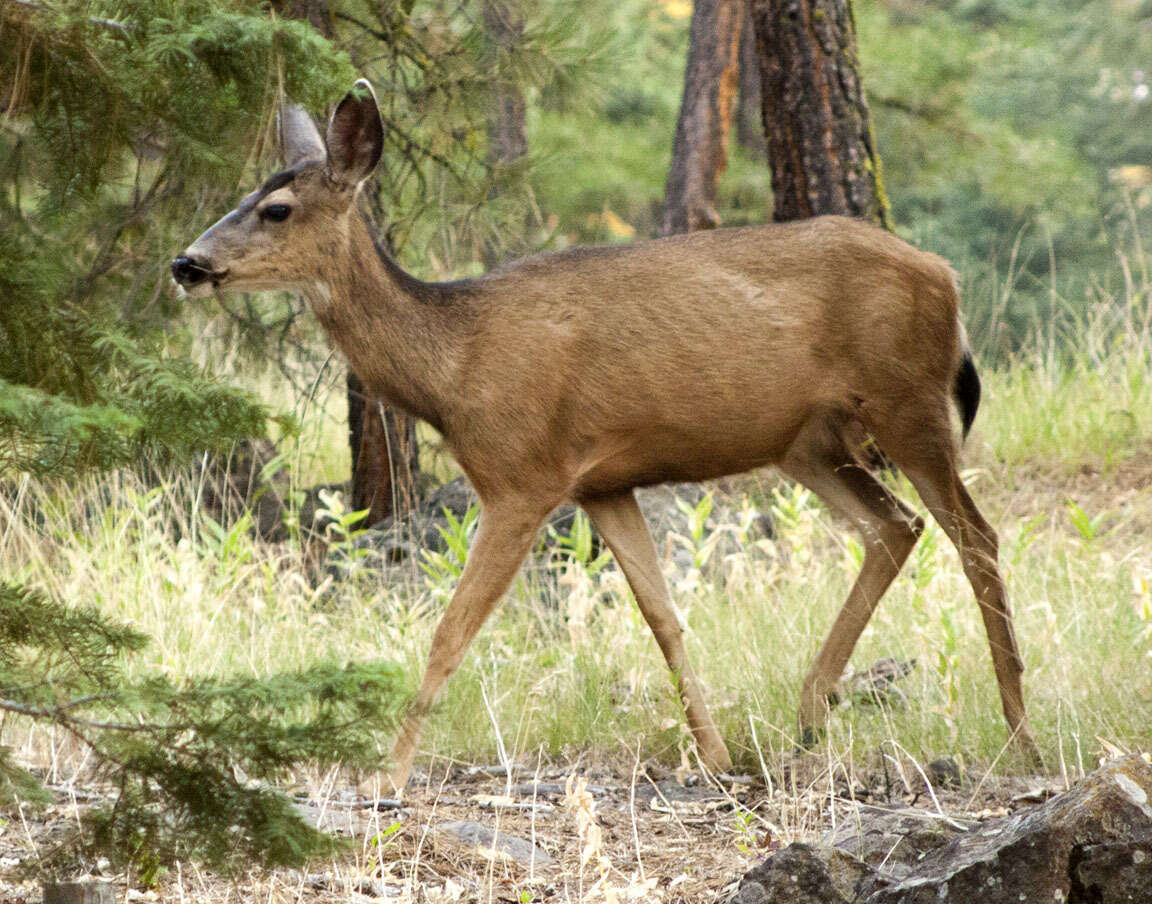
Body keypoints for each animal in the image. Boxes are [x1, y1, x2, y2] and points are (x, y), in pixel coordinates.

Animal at [172, 82, 1046, 792]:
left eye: (277, 209)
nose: (187, 262)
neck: (454, 366)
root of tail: (946, 277)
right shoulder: (603, 482)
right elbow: (663, 618)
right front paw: (717, 756)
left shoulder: (523, 476)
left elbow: (451, 629)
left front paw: (388, 774)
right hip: (808, 440)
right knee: (894, 525)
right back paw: (809, 712)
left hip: (910, 403)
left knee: (975, 535)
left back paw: (1020, 736)